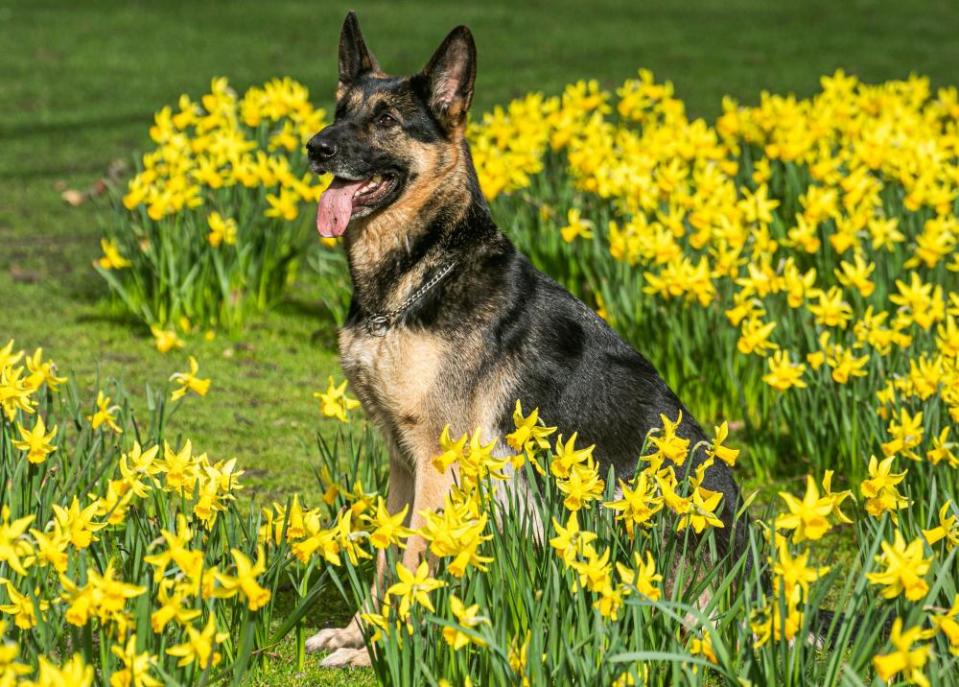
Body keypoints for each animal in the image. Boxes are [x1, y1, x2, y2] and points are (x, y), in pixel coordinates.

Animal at [304, 10, 748, 668]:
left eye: (384, 120)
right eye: (340, 109)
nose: (316, 147)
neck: (419, 277)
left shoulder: (437, 464)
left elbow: (413, 562)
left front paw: (385, 649)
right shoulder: (401, 462)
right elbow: (387, 560)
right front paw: (362, 635)